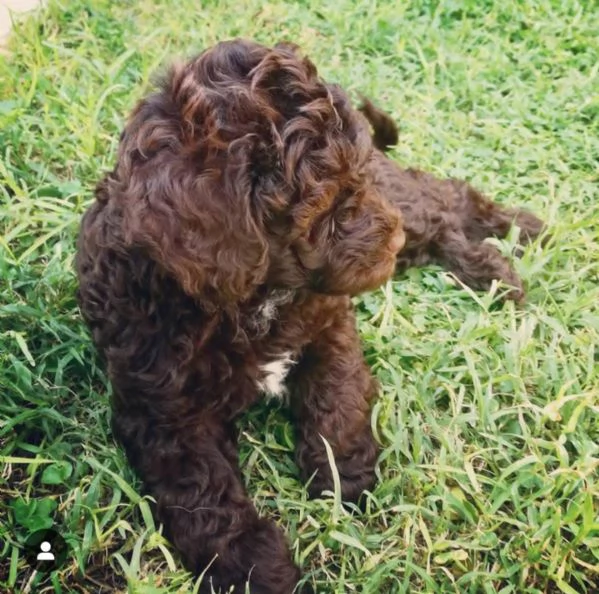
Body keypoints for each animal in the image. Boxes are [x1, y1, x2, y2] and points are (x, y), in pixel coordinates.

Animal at [75, 39, 404, 588]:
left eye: (362, 177)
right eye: (329, 206)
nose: (396, 242)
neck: (256, 298)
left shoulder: (329, 321)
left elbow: (336, 391)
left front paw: (344, 474)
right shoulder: (162, 407)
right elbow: (203, 486)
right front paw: (252, 564)